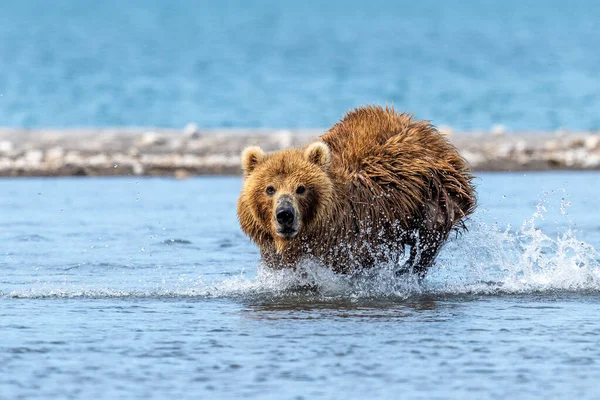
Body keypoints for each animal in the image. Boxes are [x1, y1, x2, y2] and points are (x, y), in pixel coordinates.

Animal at [237, 106, 476, 278]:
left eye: (301, 188)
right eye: (269, 189)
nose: (285, 214)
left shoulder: (357, 229)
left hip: (434, 191)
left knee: (430, 235)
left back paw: (409, 270)